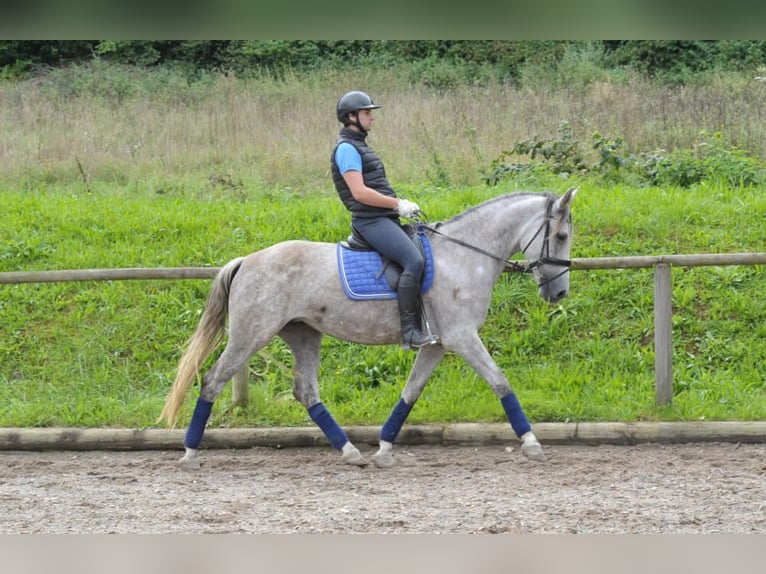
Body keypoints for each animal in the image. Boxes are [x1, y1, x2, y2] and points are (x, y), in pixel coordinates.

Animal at [159, 188, 580, 468]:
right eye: (561, 235)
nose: (558, 292)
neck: (464, 255)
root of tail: (246, 260)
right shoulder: (462, 337)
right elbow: (500, 382)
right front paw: (531, 442)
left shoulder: (437, 344)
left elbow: (410, 393)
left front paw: (384, 448)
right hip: (251, 334)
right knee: (213, 380)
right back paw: (190, 452)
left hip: (303, 334)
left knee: (306, 391)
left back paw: (350, 451)